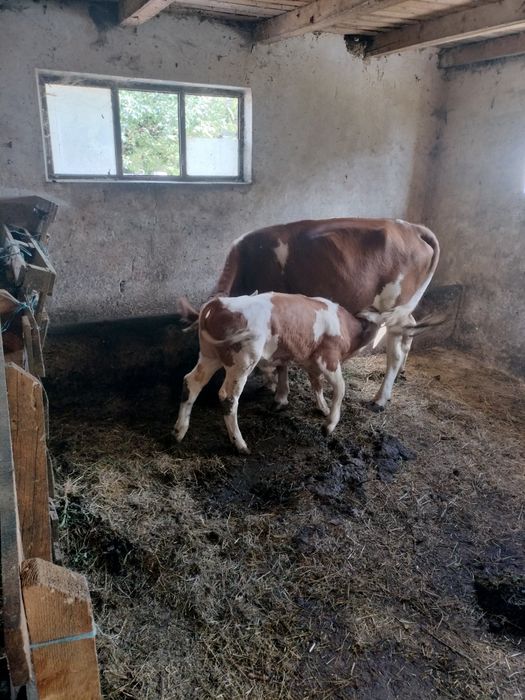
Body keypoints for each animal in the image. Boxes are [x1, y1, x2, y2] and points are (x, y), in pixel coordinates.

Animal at [174, 292, 438, 454]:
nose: (411, 330)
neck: (348, 328)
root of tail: (216, 304)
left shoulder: (311, 361)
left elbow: (315, 384)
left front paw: (321, 408)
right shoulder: (328, 358)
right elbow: (340, 388)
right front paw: (330, 424)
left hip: (210, 355)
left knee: (191, 382)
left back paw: (179, 432)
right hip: (243, 360)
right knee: (228, 397)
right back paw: (240, 444)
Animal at [210, 218, 440, 412]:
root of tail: (412, 228)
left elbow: (282, 360)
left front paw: (279, 395)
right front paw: (273, 385)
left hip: (393, 306)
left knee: (395, 353)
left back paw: (380, 399)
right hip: (402, 310)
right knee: (409, 330)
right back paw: (399, 375)